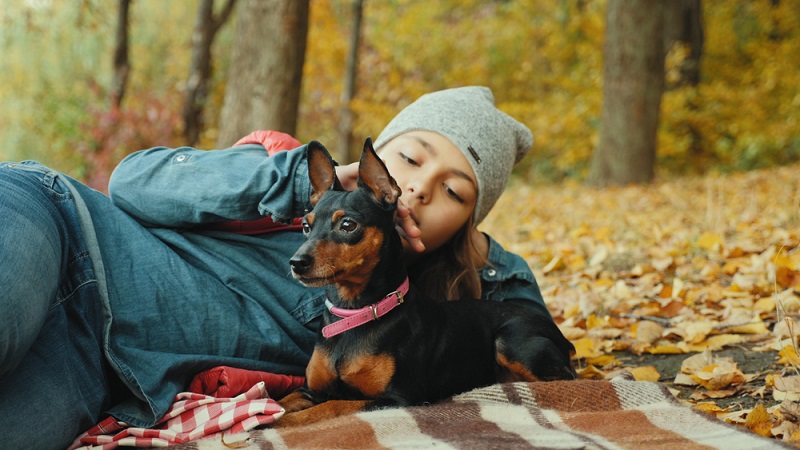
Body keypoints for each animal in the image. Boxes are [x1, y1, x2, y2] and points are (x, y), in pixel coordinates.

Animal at [276, 139, 576, 424]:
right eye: (306, 226)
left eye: (348, 225)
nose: (296, 263)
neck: (354, 313)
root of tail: (558, 332)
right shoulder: (310, 390)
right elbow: (281, 401)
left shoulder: (398, 399)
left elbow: (331, 406)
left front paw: (279, 423)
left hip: (510, 341)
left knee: (564, 380)